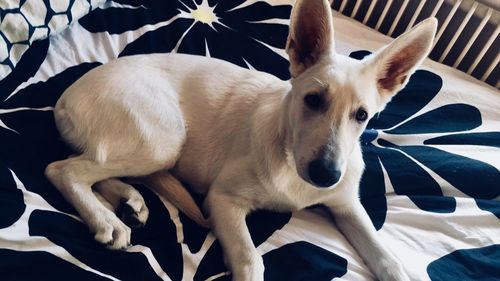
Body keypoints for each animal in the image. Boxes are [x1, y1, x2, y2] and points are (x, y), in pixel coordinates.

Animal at [46, 1, 438, 278]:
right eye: (313, 100)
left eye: (362, 116)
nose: (325, 174)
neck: (289, 156)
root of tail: (65, 96)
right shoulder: (223, 200)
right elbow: (251, 260)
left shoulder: (346, 204)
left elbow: (387, 257)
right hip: (163, 139)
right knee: (65, 169)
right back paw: (105, 219)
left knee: (95, 166)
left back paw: (127, 200)